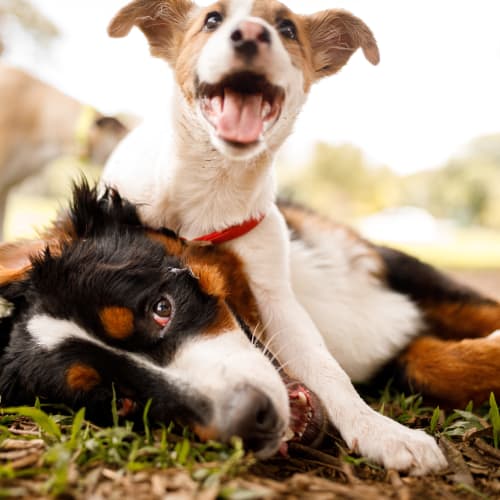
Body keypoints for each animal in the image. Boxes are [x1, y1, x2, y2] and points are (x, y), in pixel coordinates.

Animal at [97, 0, 500, 472]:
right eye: (212, 20)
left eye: (287, 28)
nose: (251, 35)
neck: (212, 190)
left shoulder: (274, 296)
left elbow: (327, 369)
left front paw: (379, 430)